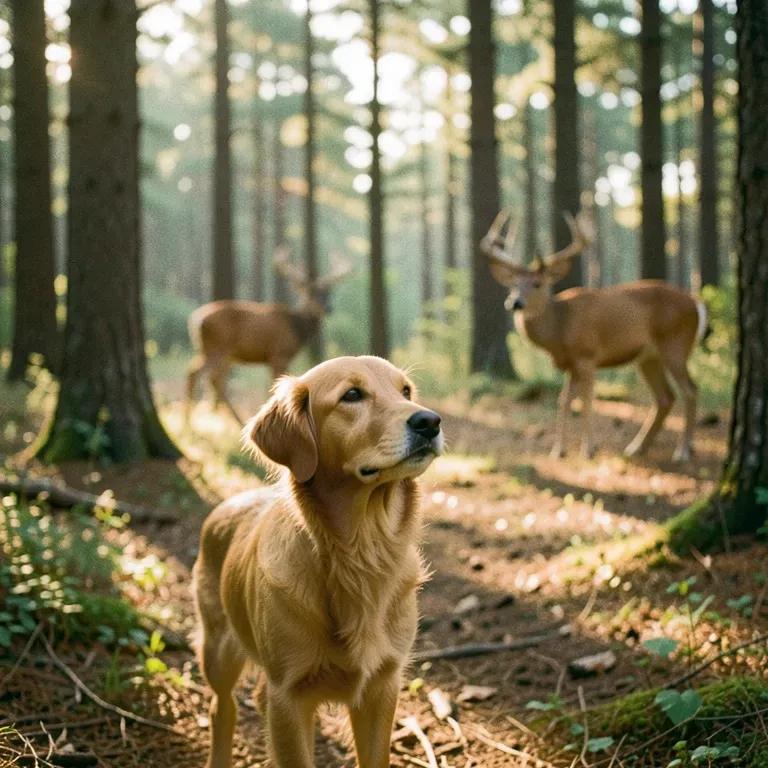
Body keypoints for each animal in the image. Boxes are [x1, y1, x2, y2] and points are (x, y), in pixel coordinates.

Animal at [186, 249, 353, 425]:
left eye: (328, 292)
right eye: (310, 292)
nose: (328, 307)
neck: (296, 327)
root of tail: (195, 319)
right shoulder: (278, 354)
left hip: (214, 352)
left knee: (209, 377)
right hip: (217, 347)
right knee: (199, 375)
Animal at [481, 209, 709, 462]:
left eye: (537, 284)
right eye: (513, 284)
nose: (515, 302)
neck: (560, 329)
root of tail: (697, 303)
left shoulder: (587, 356)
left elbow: (586, 400)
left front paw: (587, 450)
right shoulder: (571, 364)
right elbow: (564, 401)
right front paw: (558, 450)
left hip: (675, 344)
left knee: (690, 390)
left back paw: (683, 451)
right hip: (649, 357)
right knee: (665, 397)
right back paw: (637, 447)